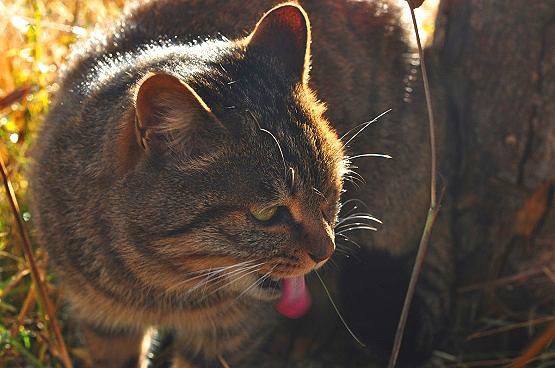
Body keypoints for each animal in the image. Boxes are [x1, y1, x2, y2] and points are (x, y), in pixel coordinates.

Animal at [30, 0, 454, 366]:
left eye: (332, 192)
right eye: (266, 214)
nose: (326, 251)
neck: (162, 288)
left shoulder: (226, 338)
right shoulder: (102, 321)